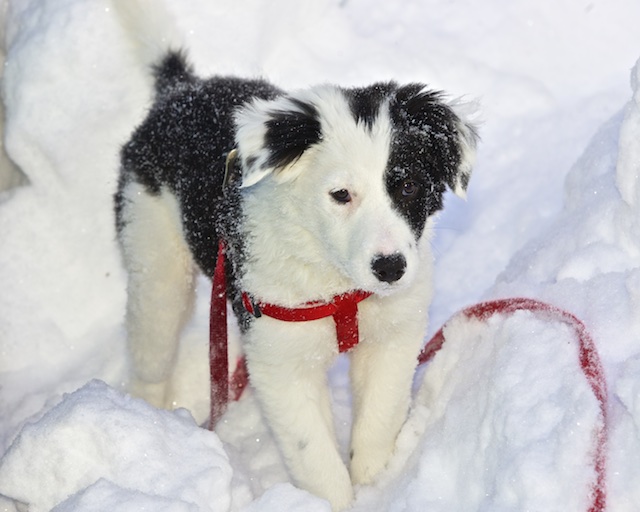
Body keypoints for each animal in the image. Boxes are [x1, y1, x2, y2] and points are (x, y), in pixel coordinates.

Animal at [115, 52, 478, 512]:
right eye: (340, 195)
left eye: (409, 186)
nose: (390, 268)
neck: (338, 285)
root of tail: (181, 88)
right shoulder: (282, 363)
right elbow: (315, 458)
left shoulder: (394, 336)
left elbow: (378, 421)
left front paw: (375, 486)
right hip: (153, 257)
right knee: (152, 352)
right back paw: (147, 419)